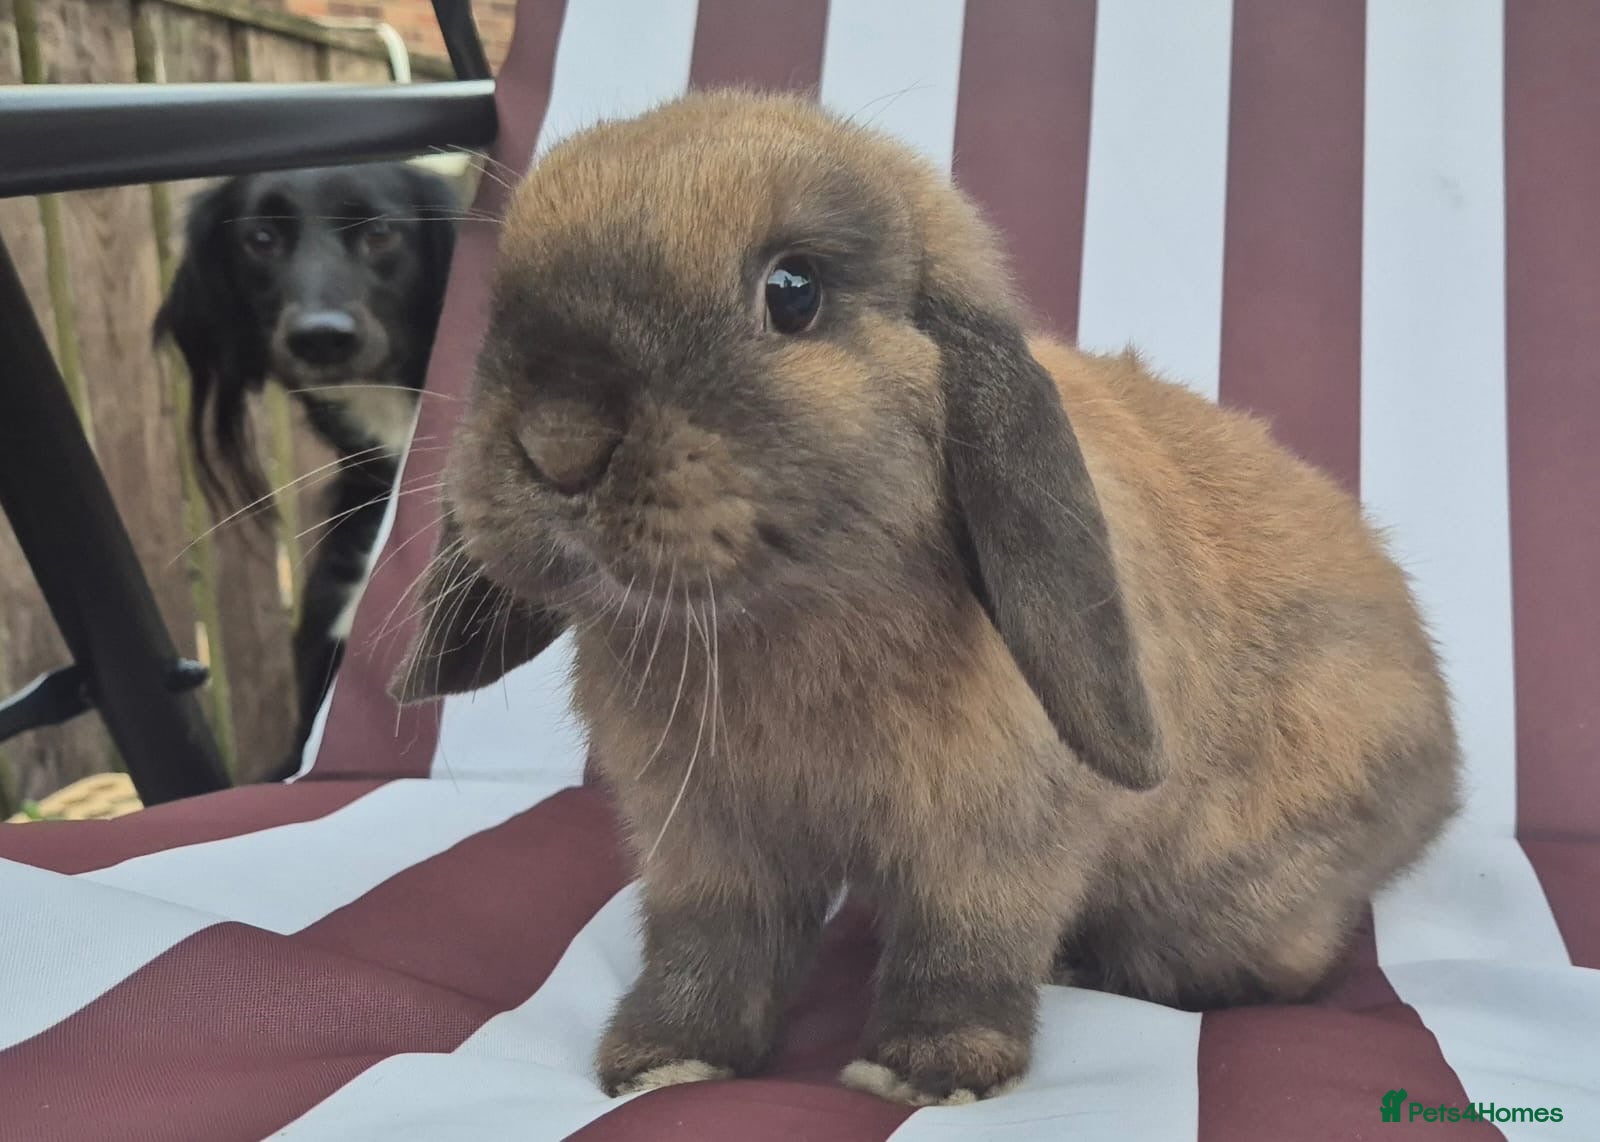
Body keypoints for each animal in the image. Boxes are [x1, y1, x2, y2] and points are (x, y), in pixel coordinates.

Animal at [392, 90, 1460, 1107]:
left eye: (793, 290)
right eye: (503, 296)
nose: (558, 442)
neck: (779, 618)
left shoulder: (995, 839)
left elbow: (965, 944)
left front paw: (929, 1069)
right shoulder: (704, 842)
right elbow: (708, 945)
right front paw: (663, 1059)